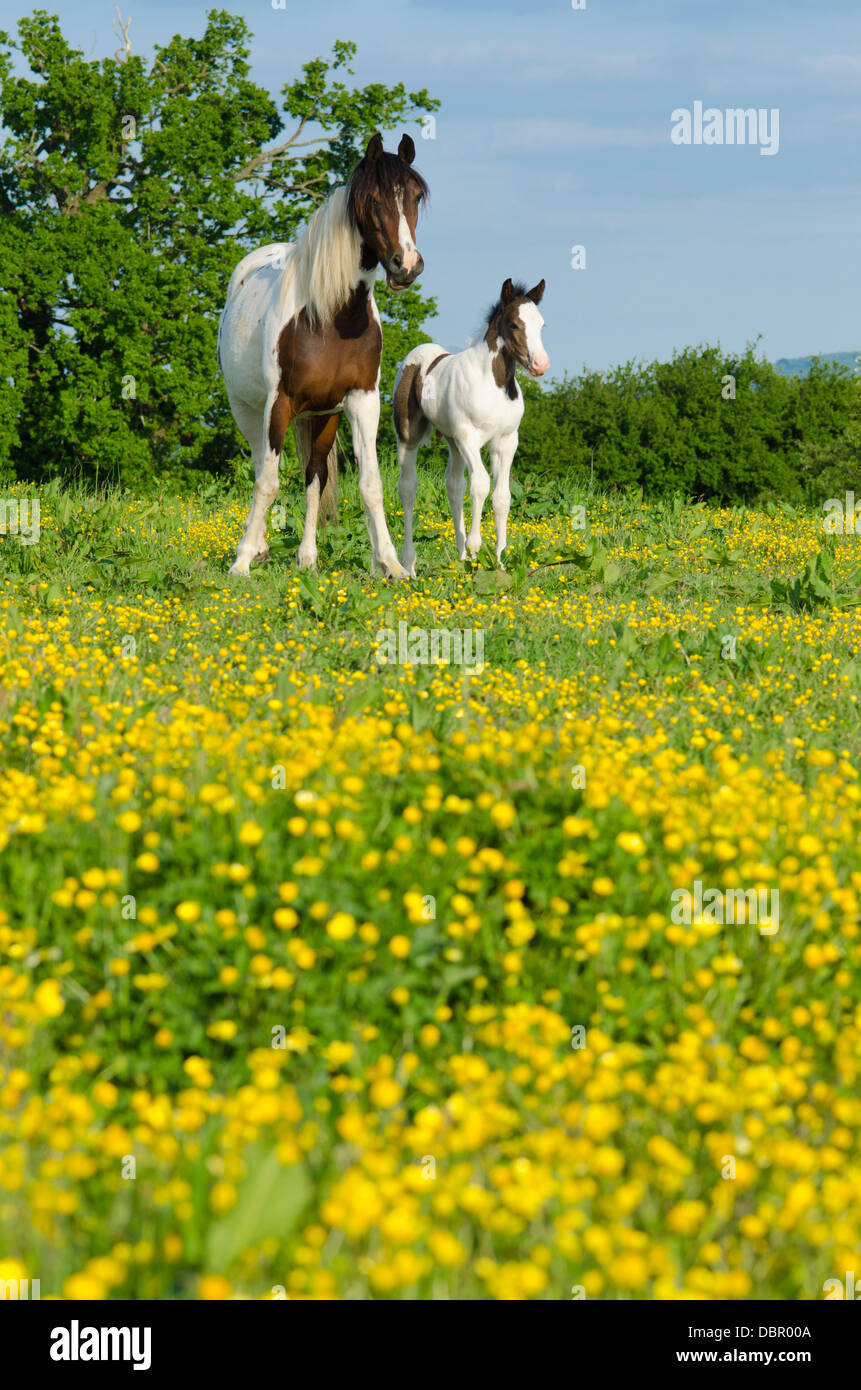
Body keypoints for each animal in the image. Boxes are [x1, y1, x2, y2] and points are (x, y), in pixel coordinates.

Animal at [218, 134, 428, 575]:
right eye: (373, 199)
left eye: (416, 196)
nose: (407, 265)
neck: (333, 316)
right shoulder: (279, 404)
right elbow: (267, 482)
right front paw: (242, 560)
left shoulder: (361, 401)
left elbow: (368, 484)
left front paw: (390, 564)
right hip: (247, 409)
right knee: (261, 463)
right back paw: (258, 547)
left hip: (323, 417)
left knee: (314, 476)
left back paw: (307, 557)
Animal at [395, 279, 548, 572]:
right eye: (514, 325)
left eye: (542, 324)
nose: (540, 364)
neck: (494, 382)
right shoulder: (470, 438)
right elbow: (481, 484)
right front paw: (476, 549)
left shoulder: (506, 442)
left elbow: (502, 497)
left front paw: (499, 560)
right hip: (410, 436)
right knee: (408, 487)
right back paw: (409, 564)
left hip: (452, 441)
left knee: (454, 486)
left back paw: (461, 557)